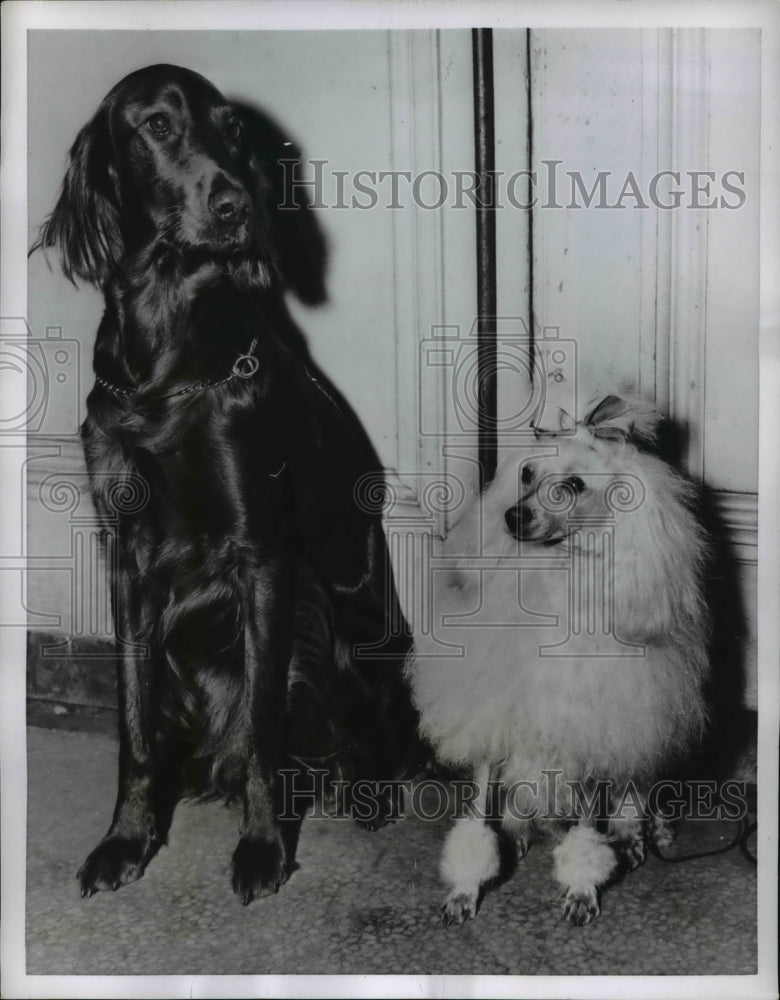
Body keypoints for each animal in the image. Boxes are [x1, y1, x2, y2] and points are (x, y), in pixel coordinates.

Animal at [33, 62, 420, 908]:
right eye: (156, 126)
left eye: (233, 130)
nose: (236, 205)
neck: (167, 367)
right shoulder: (125, 559)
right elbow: (136, 727)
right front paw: (126, 842)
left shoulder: (262, 555)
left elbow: (261, 727)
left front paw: (263, 848)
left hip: (348, 619)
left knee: (380, 719)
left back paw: (371, 790)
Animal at [408, 394, 712, 924]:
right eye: (527, 473)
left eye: (573, 486)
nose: (513, 517)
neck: (553, 576)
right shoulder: (494, 726)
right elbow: (478, 813)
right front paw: (466, 887)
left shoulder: (588, 743)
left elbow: (587, 833)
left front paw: (582, 888)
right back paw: (519, 835)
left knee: (634, 797)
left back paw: (636, 837)